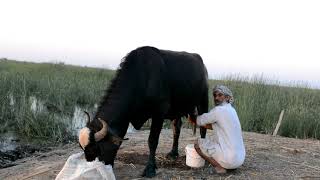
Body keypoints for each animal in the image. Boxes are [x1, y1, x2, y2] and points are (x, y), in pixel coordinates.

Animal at [79, 46, 209, 177]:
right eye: (82, 149)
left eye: (98, 148)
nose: (93, 169)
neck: (143, 77)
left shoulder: (159, 113)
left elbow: (152, 141)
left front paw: (150, 168)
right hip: (177, 109)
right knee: (176, 128)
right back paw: (173, 153)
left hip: (203, 101)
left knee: (203, 128)